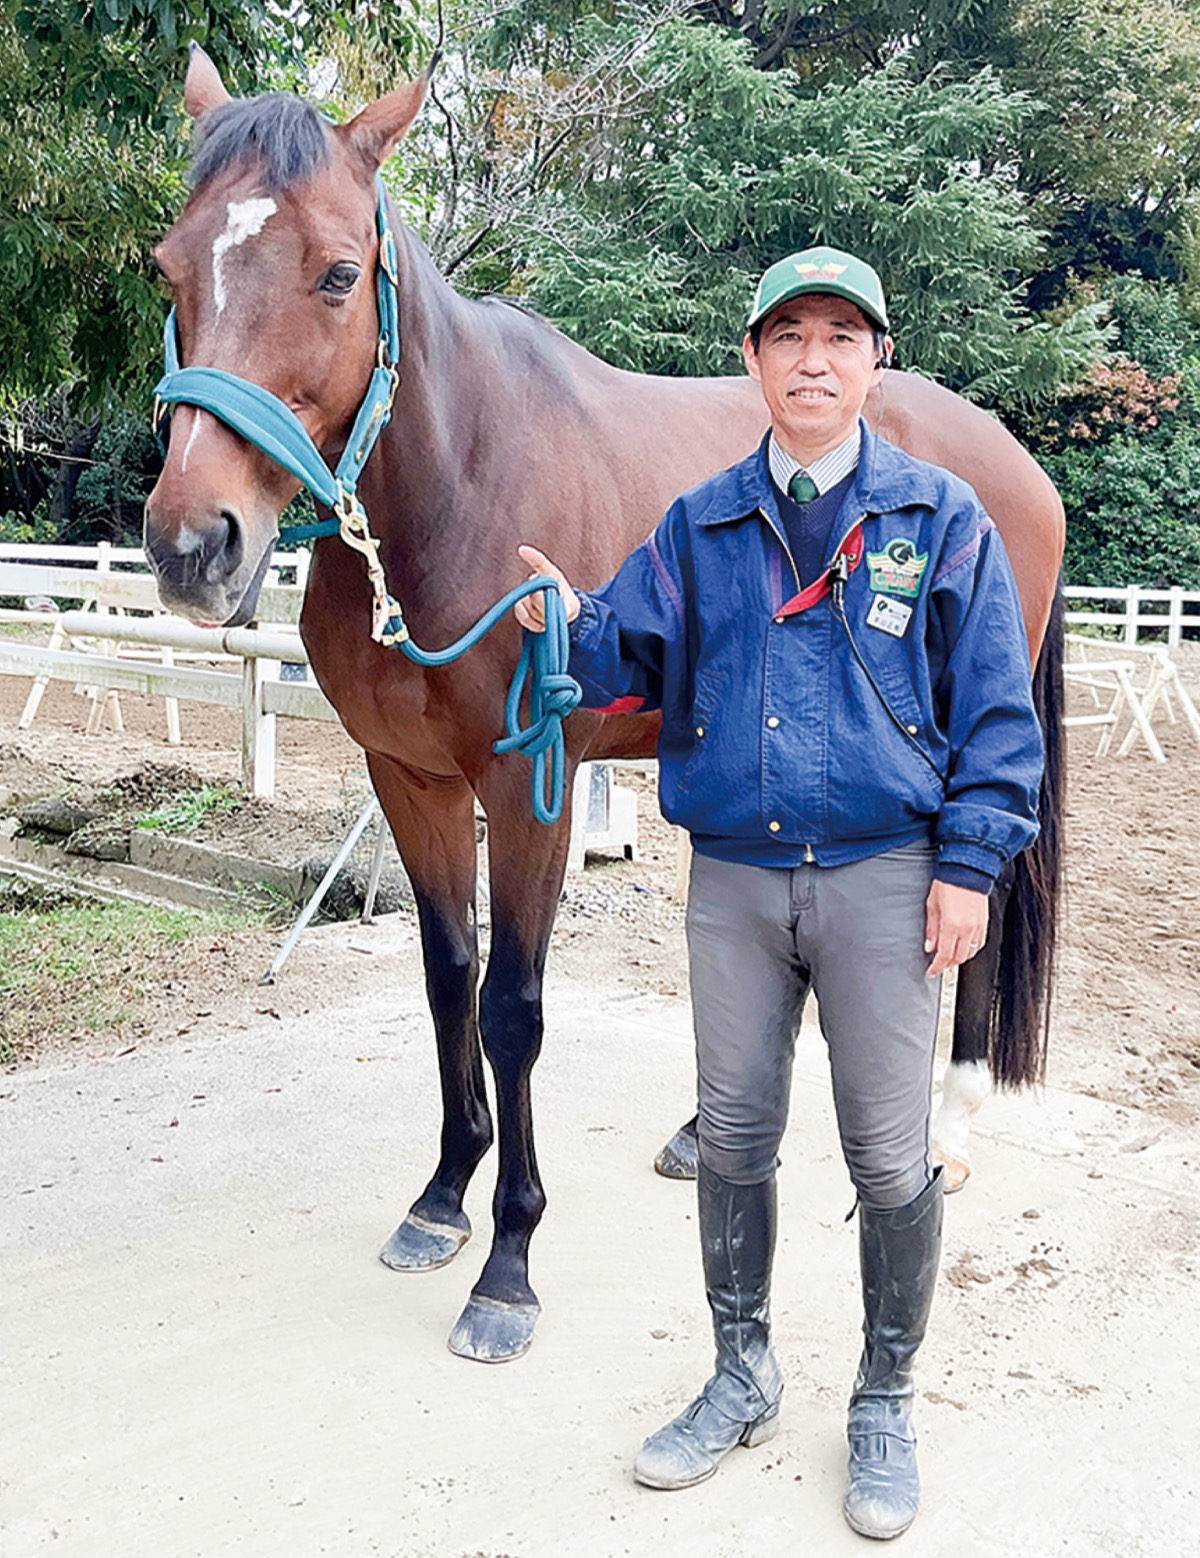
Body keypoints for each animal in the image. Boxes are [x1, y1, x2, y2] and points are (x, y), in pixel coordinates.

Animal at [143, 49, 1064, 1364]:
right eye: (170, 267)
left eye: (334, 272)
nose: (191, 545)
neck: (460, 483)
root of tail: (1011, 458)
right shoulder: (410, 783)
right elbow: (449, 981)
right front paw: (442, 1197)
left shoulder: (529, 789)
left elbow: (513, 1008)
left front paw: (509, 1263)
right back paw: (705, 1130)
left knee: (970, 929)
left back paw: (951, 1124)